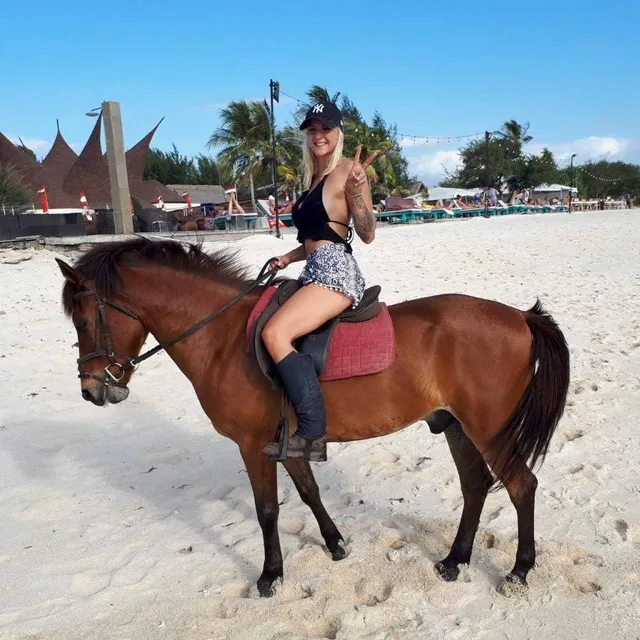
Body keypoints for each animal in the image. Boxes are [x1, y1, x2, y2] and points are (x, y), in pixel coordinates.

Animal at [57, 237, 570, 598]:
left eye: (83, 320)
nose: (90, 390)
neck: (223, 337)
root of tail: (521, 317)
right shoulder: (289, 440)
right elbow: (308, 491)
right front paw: (335, 544)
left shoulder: (252, 445)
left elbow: (267, 510)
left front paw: (270, 575)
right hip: (457, 426)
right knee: (476, 486)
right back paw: (454, 560)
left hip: (488, 429)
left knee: (521, 486)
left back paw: (520, 570)